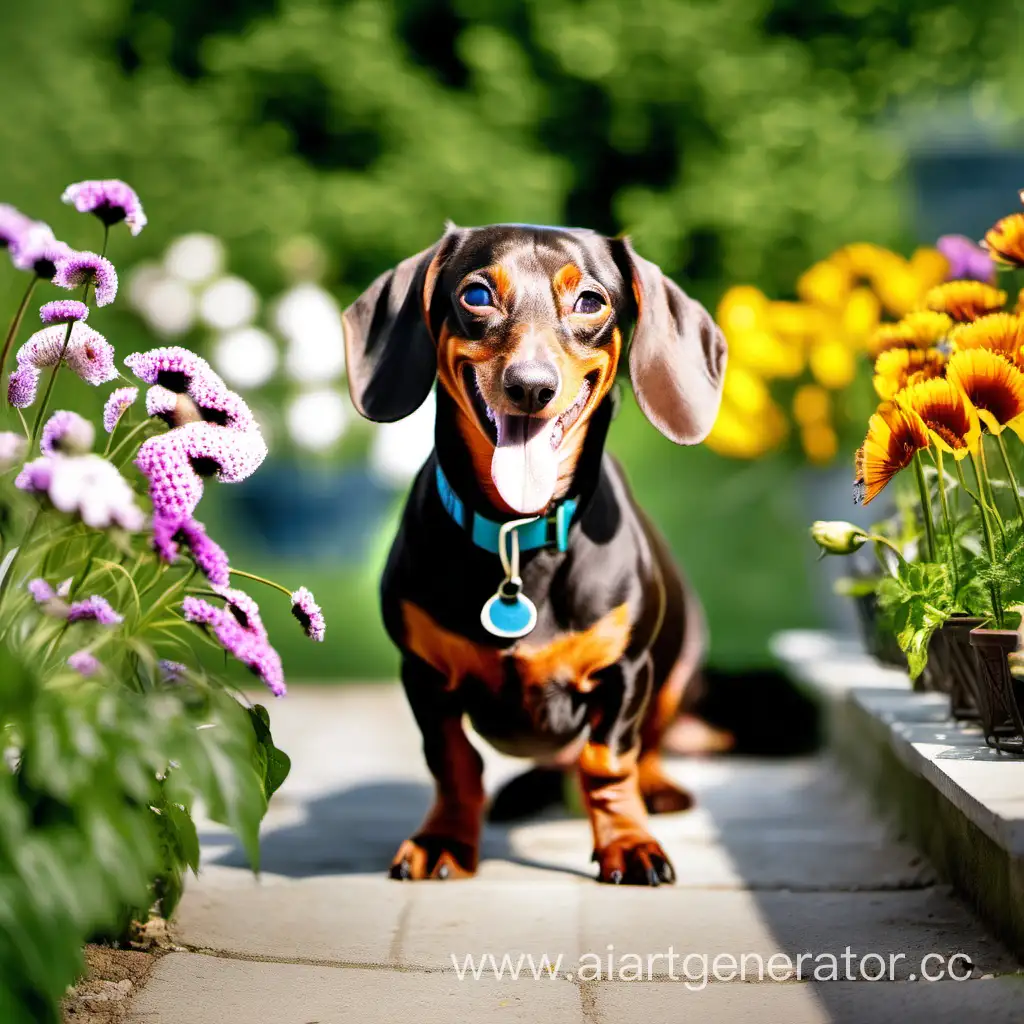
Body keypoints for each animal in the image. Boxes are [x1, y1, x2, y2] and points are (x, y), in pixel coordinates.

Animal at [344, 226, 729, 888]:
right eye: (476, 294)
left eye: (590, 301)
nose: (531, 386)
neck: (515, 537)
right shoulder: (423, 673)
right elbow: (453, 761)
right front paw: (445, 841)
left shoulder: (627, 673)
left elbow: (607, 762)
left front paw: (628, 844)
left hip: (678, 667)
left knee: (646, 746)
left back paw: (656, 787)